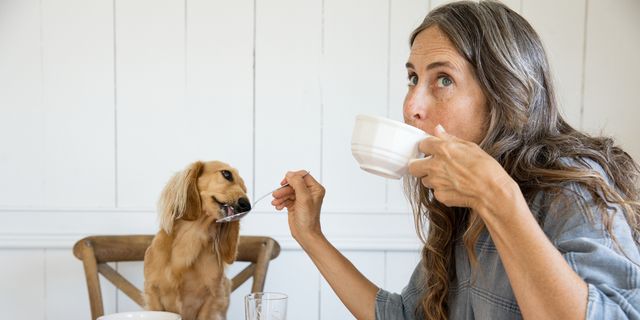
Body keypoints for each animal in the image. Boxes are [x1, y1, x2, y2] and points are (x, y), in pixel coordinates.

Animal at [144, 161, 249, 318]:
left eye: (245, 189)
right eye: (227, 174)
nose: (247, 206)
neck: (192, 238)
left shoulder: (211, 298)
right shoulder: (153, 292)